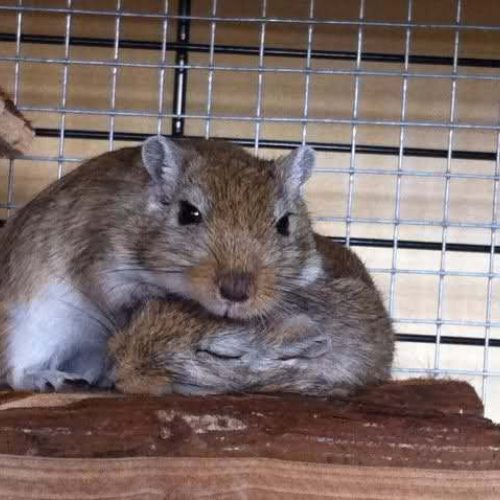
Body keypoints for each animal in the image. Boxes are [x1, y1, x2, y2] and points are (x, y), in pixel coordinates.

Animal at [0, 136, 324, 391]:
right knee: (16, 371)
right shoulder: (103, 267)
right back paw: (50, 379)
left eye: (284, 224)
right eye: (188, 213)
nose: (235, 293)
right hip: (26, 326)